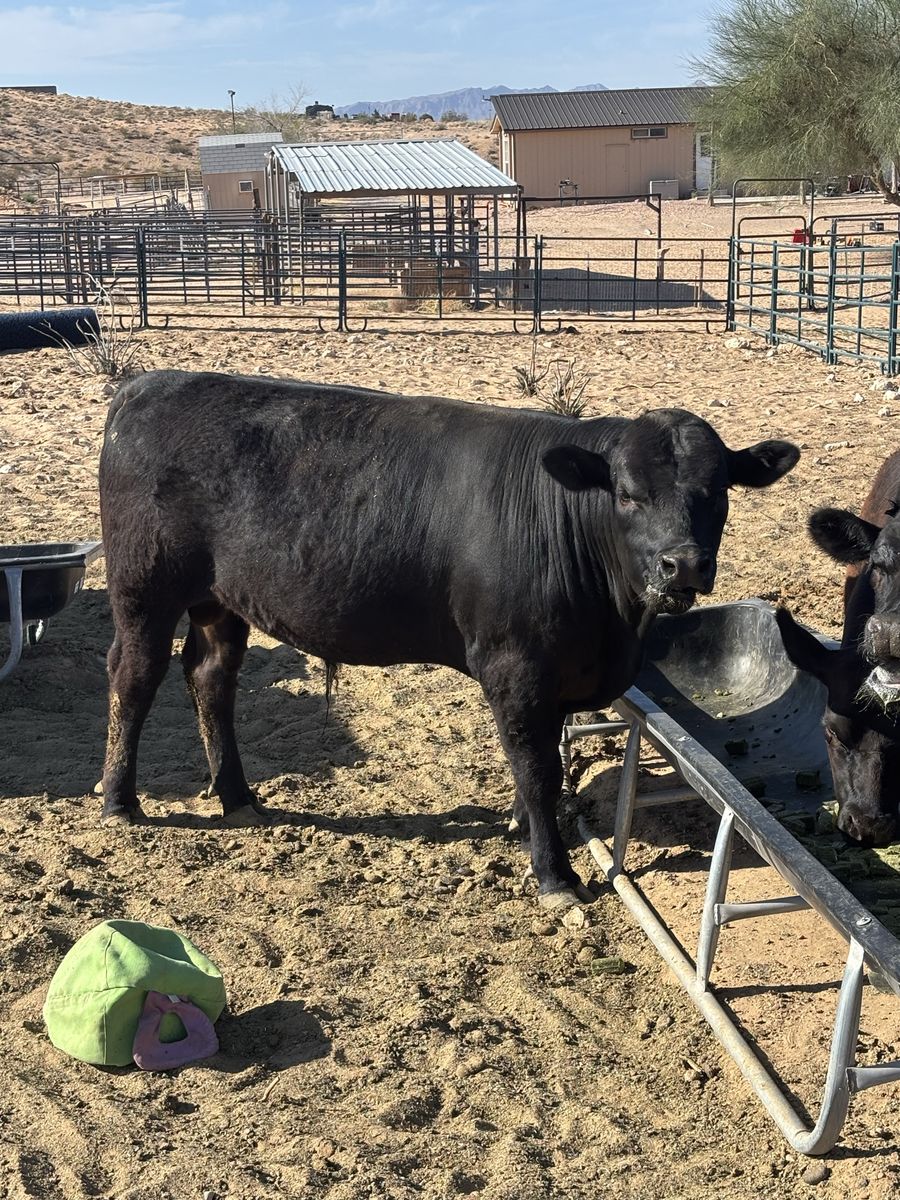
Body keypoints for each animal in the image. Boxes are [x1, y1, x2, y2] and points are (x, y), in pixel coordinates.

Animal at [98, 370, 799, 908]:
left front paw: (524, 830)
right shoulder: (516, 669)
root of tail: (146, 385)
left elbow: (536, 766)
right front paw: (555, 877)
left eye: (718, 492)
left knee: (211, 677)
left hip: (219, 602)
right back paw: (120, 800)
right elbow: (538, 768)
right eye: (627, 495)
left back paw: (238, 797)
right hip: (144, 590)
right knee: (133, 676)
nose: (683, 565)